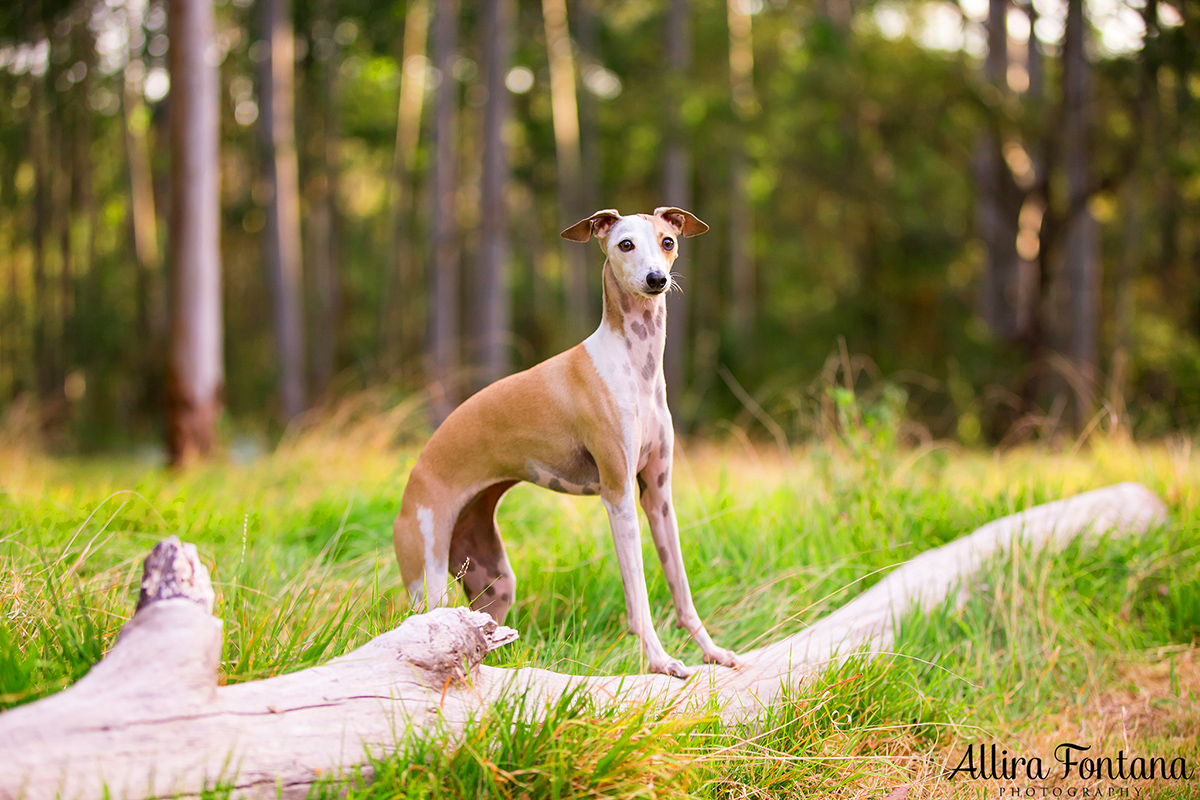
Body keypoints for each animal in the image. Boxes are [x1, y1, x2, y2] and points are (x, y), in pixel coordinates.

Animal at [393, 208, 734, 681]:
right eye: (625, 244)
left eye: (667, 241)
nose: (656, 280)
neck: (633, 363)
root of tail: (414, 481)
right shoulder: (618, 496)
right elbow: (639, 599)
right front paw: (660, 660)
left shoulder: (658, 497)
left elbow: (680, 588)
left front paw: (712, 651)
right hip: (429, 578)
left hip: (494, 582)